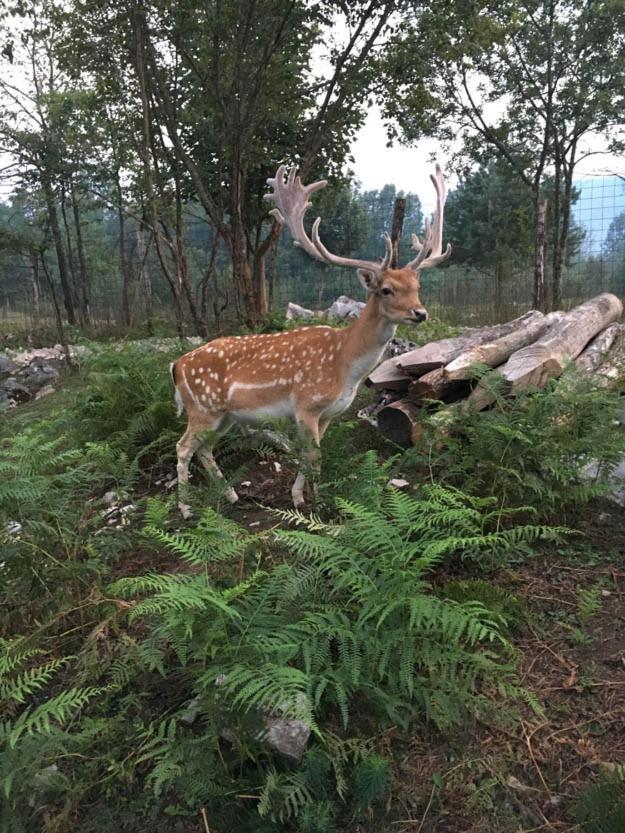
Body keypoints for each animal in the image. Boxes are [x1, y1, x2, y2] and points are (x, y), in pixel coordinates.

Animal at [171, 162, 448, 512]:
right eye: (386, 289)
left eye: (417, 286)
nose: (420, 313)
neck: (345, 364)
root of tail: (176, 366)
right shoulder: (305, 404)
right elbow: (314, 456)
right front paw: (318, 503)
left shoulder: (329, 412)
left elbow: (310, 455)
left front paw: (300, 496)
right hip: (202, 407)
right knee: (182, 447)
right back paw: (185, 508)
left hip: (225, 415)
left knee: (205, 449)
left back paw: (231, 495)